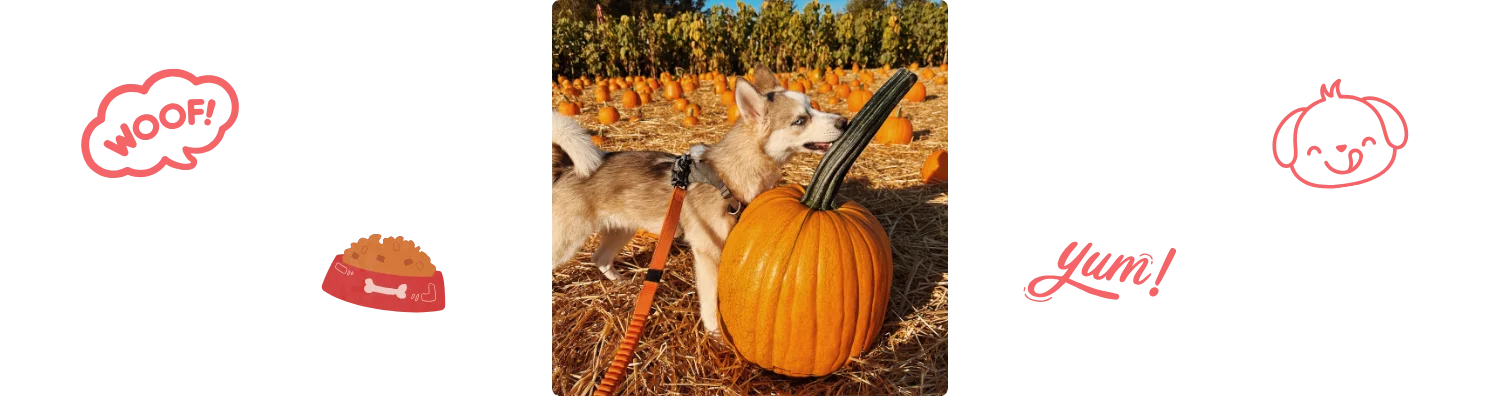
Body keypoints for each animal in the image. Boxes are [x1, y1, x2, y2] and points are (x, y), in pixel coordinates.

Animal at [555, 63, 858, 336]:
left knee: (600, 258)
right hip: (567, 242)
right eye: (800, 120)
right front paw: (715, 332)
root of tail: (567, 167)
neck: (728, 176)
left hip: (620, 231)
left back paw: (622, 283)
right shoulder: (707, 253)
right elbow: (711, 301)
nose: (845, 122)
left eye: (813, 106)